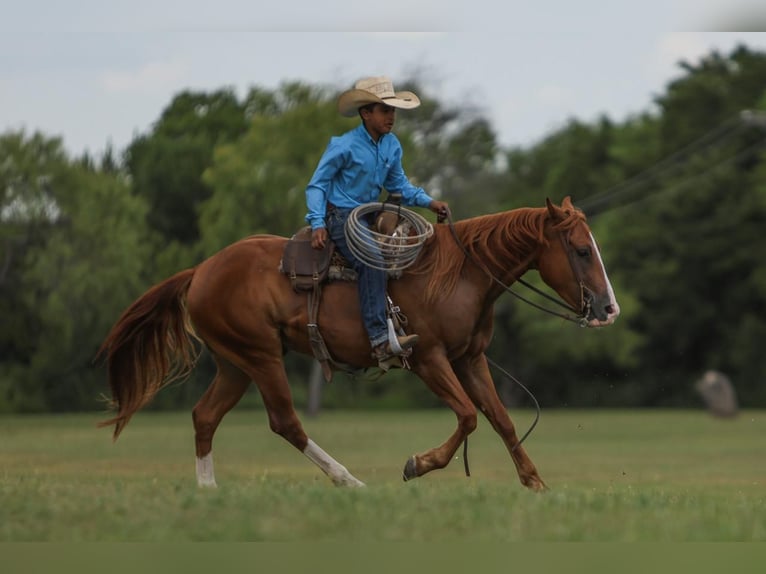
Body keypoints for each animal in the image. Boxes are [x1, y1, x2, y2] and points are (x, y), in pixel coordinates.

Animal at [99, 197, 620, 490]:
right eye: (580, 250)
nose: (608, 308)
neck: (458, 275)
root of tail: (201, 270)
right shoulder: (428, 359)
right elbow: (469, 417)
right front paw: (418, 464)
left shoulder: (470, 358)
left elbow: (502, 420)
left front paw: (535, 482)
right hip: (260, 357)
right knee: (286, 423)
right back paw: (348, 480)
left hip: (235, 363)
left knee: (205, 417)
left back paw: (208, 493)